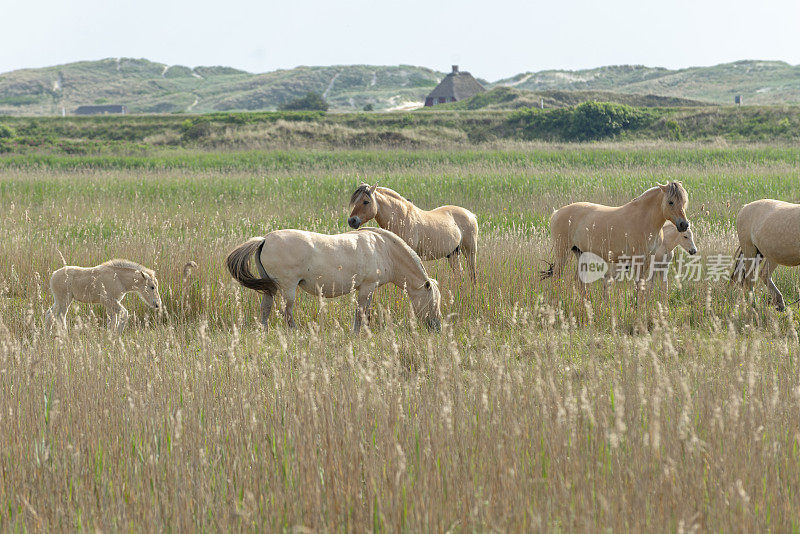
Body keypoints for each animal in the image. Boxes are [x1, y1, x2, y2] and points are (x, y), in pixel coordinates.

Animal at [223, 228, 444, 332]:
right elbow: (360, 312)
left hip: (271, 288)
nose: (437, 326)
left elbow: (365, 312)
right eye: (433, 301)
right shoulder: (367, 286)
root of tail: (265, 239)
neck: (384, 248)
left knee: (265, 309)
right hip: (287, 287)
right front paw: (357, 334)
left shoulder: (369, 289)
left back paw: (265, 332)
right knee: (287, 312)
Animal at [346, 184, 478, 282]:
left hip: (470, 252)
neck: (402, 218)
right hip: (453, 254)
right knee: (459, 273)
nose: (352, 220)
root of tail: (470, 214)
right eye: (355, 201)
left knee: (472, 273)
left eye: (366, 201)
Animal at [540, 183, 692, 294]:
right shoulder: (639, 260)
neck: (644, 219)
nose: (683, 224)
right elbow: (640, 286)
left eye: (684, 202)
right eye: (671, 202)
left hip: (581, 253)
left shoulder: (649, 260)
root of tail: (556, 212)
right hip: (562, 252)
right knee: (557, 278)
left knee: (579, 282)